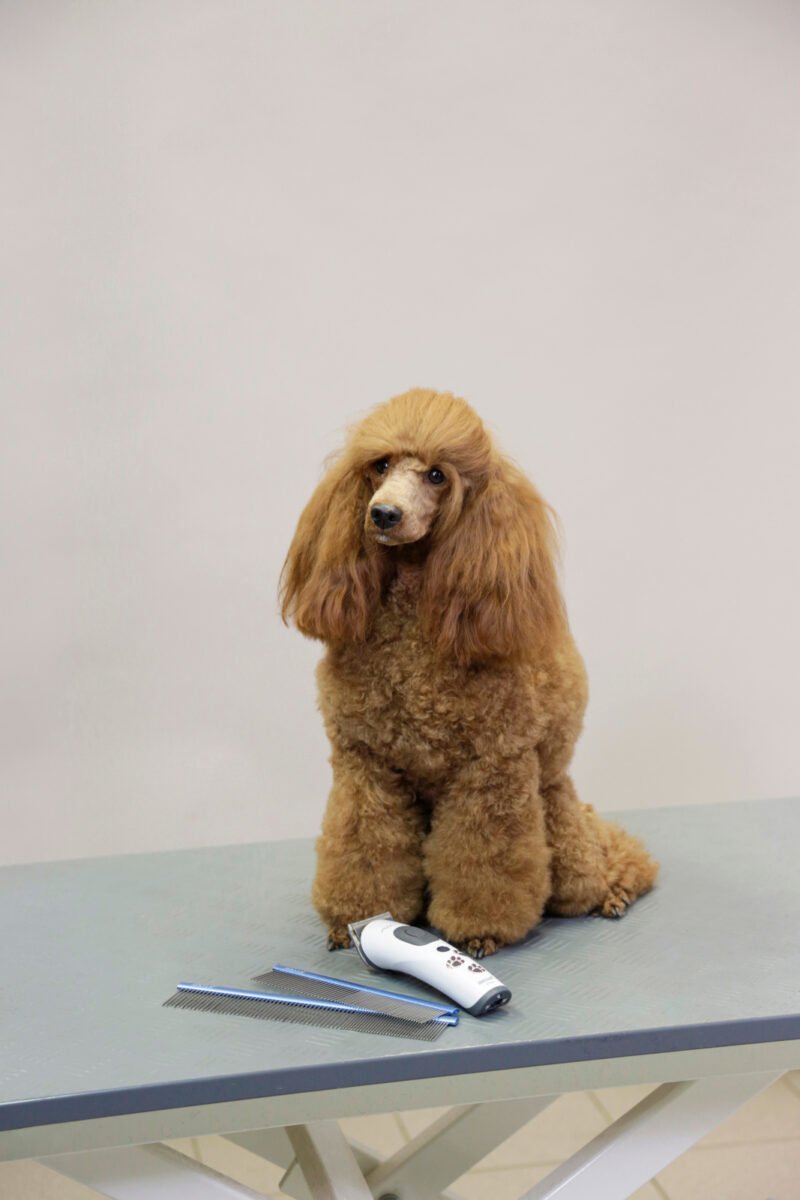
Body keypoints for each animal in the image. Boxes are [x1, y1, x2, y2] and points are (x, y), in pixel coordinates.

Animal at [281, 389, 658, 956]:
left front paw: (480, 930)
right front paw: (356, 920)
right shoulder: (364, 764)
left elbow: (484, 859)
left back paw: (613, 892)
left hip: (560, 826)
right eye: (380, 465)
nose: (382, 514)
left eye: (437, 476)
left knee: (607, 861)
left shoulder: (493, 768)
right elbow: (364, 845)